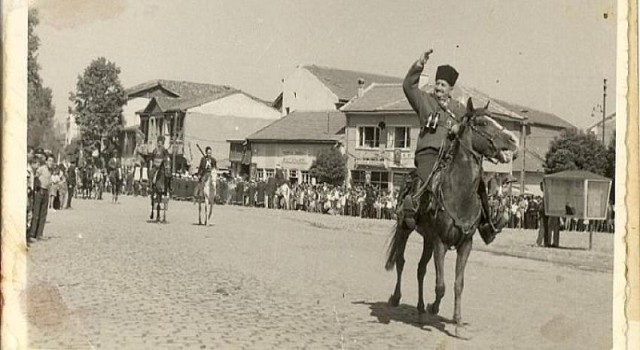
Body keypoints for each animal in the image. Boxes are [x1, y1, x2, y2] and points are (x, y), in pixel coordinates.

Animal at [384, 98, 520, 336]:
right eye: (483, 122)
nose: (513, 140)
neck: (460, 192)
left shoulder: (465, 244)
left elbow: (458, 284)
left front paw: (457, 322)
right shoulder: (441, 242)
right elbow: (441, 285)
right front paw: (434, 307)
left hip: (427, 239)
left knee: (420, 270)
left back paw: (420, 311)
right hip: (405, 229)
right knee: (401, 262)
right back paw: (397, 298)